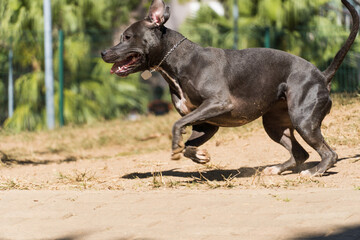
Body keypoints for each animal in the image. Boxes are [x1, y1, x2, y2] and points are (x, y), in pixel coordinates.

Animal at [102, 0, 360, 176]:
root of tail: (322, 75)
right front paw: (199, 155)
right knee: (300, 153)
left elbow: (177, 125)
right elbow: (189, 144)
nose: (104, 52)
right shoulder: (205, 123)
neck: (177, 60)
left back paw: (314, 172)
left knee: (329, 153)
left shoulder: (218, 103)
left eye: (127, 36)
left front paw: (176, 146)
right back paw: (276, 169)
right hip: (274, 124)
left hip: (303, 120)